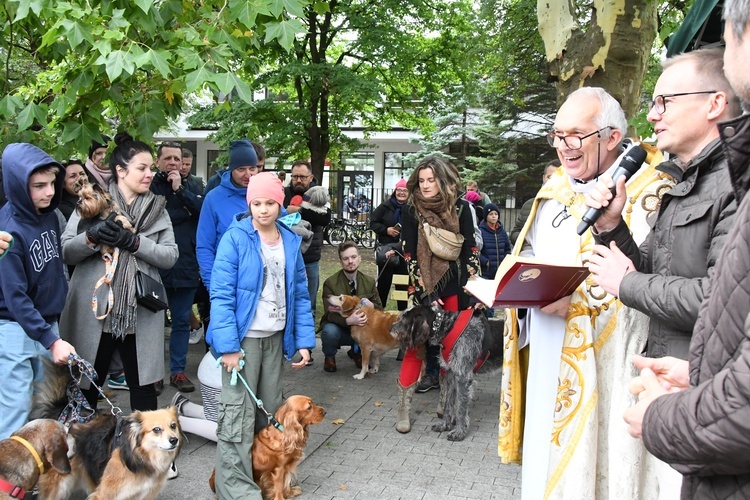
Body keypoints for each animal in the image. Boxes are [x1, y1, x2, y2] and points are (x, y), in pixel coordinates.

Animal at [38, 408, 184, 500]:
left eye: (173, 426)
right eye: (156, 429)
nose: (174, 440)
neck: (141, 456)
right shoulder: (104, 494)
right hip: (57, 486)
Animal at [390, 304, 490, 442]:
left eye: (405, 319)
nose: (390, 328)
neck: (447, 326)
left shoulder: (463, 376)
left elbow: (461, 407)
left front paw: (459, 432)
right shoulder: (452, 374)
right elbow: (448, 402)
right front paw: (444, 425)